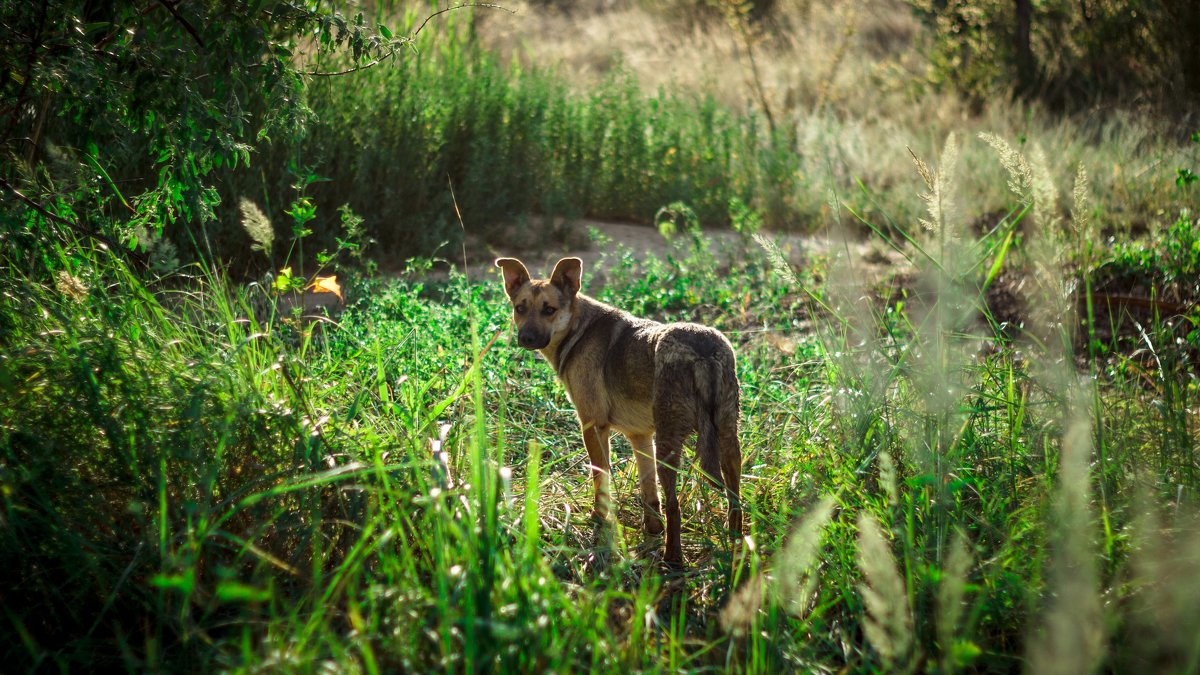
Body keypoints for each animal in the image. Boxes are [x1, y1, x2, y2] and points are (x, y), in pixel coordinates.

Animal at [494, 254, 739, 559]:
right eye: (520, 309)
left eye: (549, 310)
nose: (526, 338)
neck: (577, 329)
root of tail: (702, 351)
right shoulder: (640, 436)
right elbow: (649, 492)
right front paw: (651, 529)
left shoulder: (593, 426)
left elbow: (600, 479)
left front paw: (600, 520)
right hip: (728, 437)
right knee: (735, 500)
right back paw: (737, 544)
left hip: (670, 443)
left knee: (675, 506)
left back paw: (673, 559)